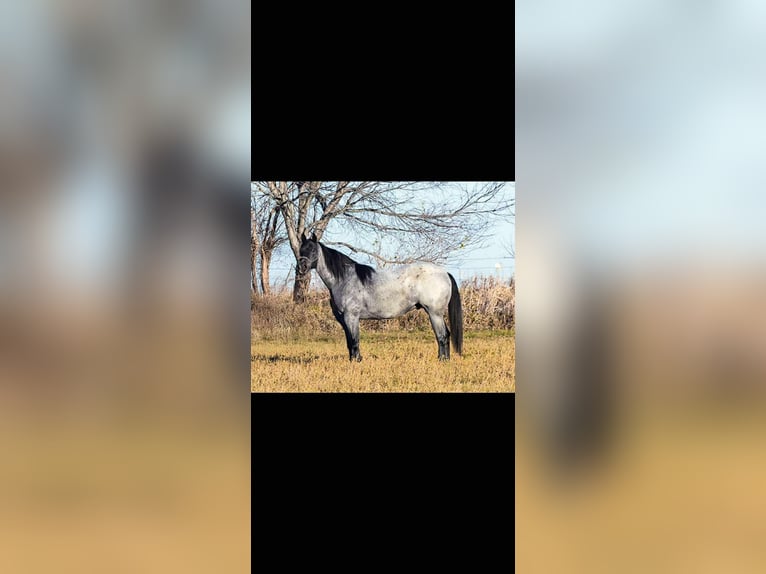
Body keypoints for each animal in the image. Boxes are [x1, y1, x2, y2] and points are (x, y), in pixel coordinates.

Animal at [297, 232, 463, 362]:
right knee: (444, 335)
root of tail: (444, 273)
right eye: (301, 249)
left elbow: (354, 341)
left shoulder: (351, 317)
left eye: (313, 250)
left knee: (442, 336)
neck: (344, 279)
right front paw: (353, 360)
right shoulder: (343, 319)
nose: (301, 267)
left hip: (435, 313)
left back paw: (442, 361)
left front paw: (356, 362)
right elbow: (349, 342)